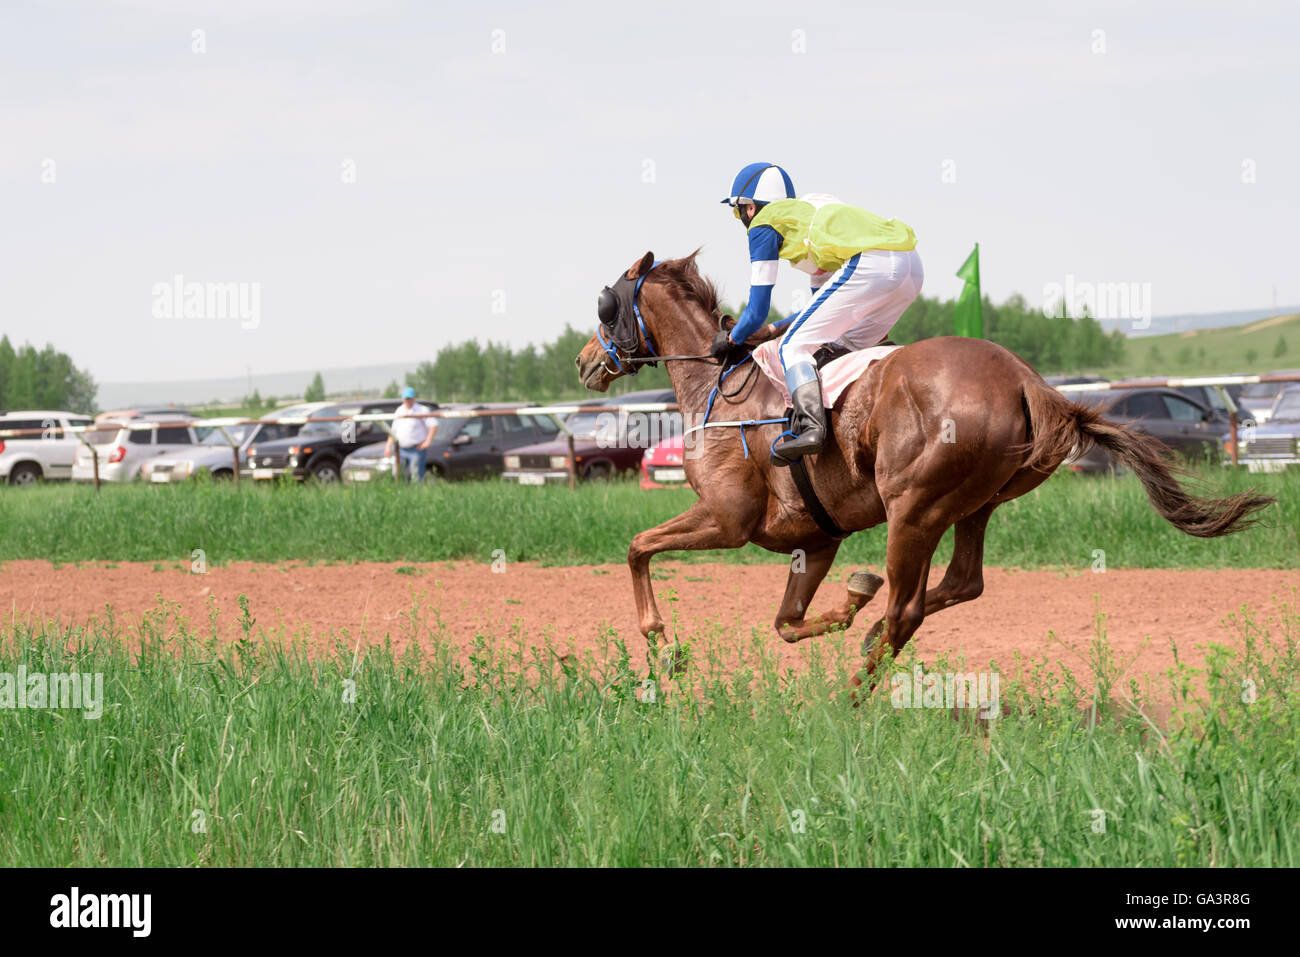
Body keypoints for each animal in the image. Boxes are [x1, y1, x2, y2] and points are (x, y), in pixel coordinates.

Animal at [574, 251, 1274, 687]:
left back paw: (853, 691)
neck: (718, 387)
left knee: (907, 607)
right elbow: (788, 623)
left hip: (912, 508)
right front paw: (845, 609)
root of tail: (1027, 381)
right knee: (961, 583)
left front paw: (663, 646)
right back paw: (867, 637)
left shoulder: (729, 519)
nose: (585, 361)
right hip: (974, 504)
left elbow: (638, 547)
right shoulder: (816, 539)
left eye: (607, 304)